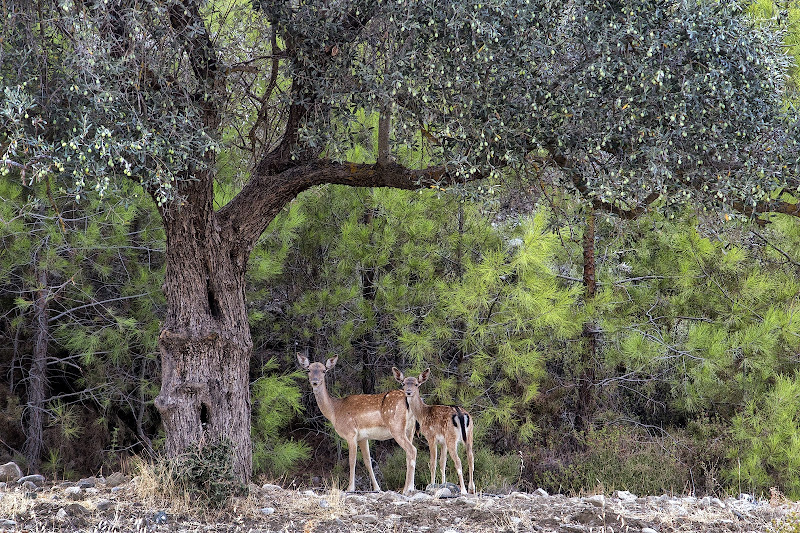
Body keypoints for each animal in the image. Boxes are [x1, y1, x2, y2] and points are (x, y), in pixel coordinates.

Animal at [296, 354, 418, 494]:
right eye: (308, 370)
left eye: (324, 371)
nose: (315, 381)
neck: (335, 411)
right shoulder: (363, 438)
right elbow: (368, 461)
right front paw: (377, 488)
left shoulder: (350, 433)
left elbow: (352, 461)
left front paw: (350, 488)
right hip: (411, 429)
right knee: (409, 453)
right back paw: (409, 487)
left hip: (396, 427)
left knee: (412, 450)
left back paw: (408, 489)